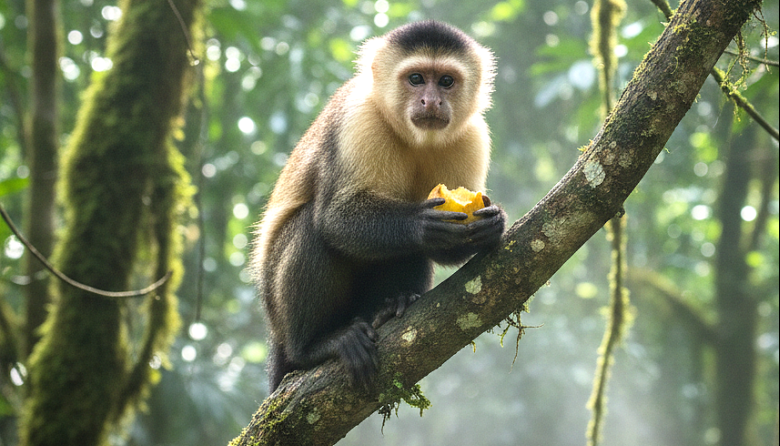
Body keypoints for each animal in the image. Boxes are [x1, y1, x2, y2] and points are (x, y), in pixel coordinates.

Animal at [251, 20, 506, 392]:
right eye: (416, 79)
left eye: (446, 81)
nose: (431, 101)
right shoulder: (358, 120)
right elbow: (335, 218)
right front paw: (421, 224)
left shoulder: (472, 137)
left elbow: (446, 245)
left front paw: (491, 226)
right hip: (277, 308)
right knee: (312, 227)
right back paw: (312, 347)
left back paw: (391, 306)